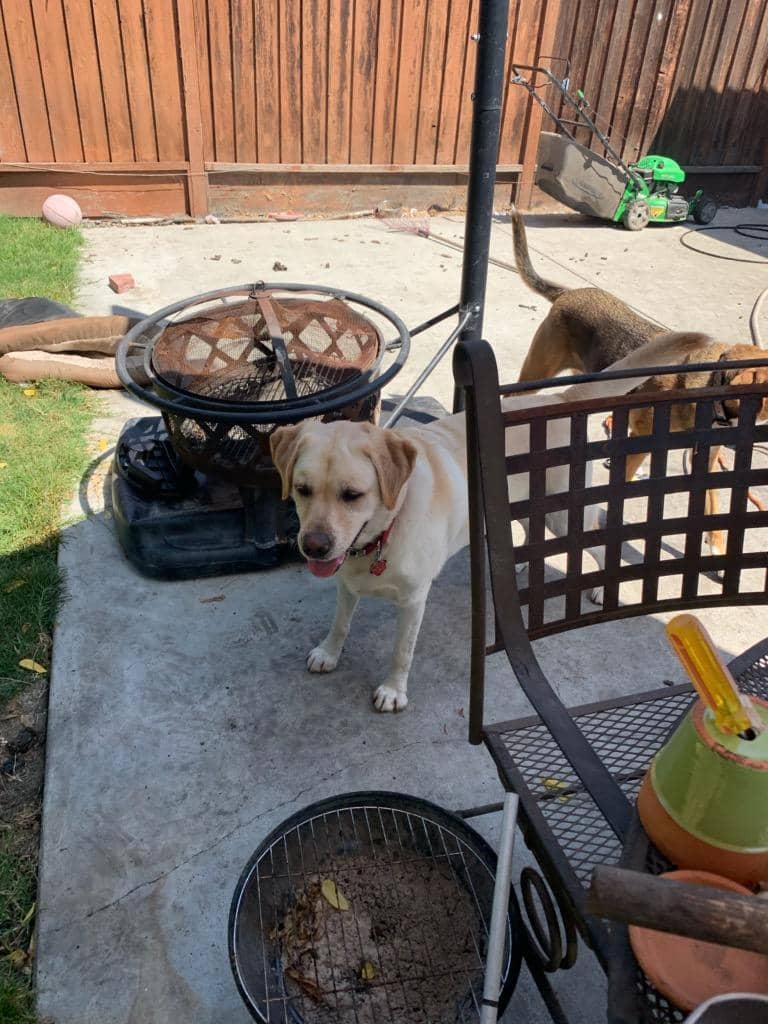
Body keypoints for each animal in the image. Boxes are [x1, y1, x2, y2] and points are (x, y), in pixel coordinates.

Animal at [270, 332, 705, 712]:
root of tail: (559, 395)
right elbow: (341, 624)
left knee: (596, 538)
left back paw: (600, 588)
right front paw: (328, 652)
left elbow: (400, 652)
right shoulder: (346, 584)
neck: (384, 533)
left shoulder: (412, 602)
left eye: (352, 495)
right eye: (303, 490)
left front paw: (394, 691)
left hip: (563, 515)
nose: (314, 547)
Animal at [511, 209, 768, 554]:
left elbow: (712, 501)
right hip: (536, 372)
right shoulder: (642, 443)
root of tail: (569, 292)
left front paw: (715, 542)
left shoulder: (706, 460)